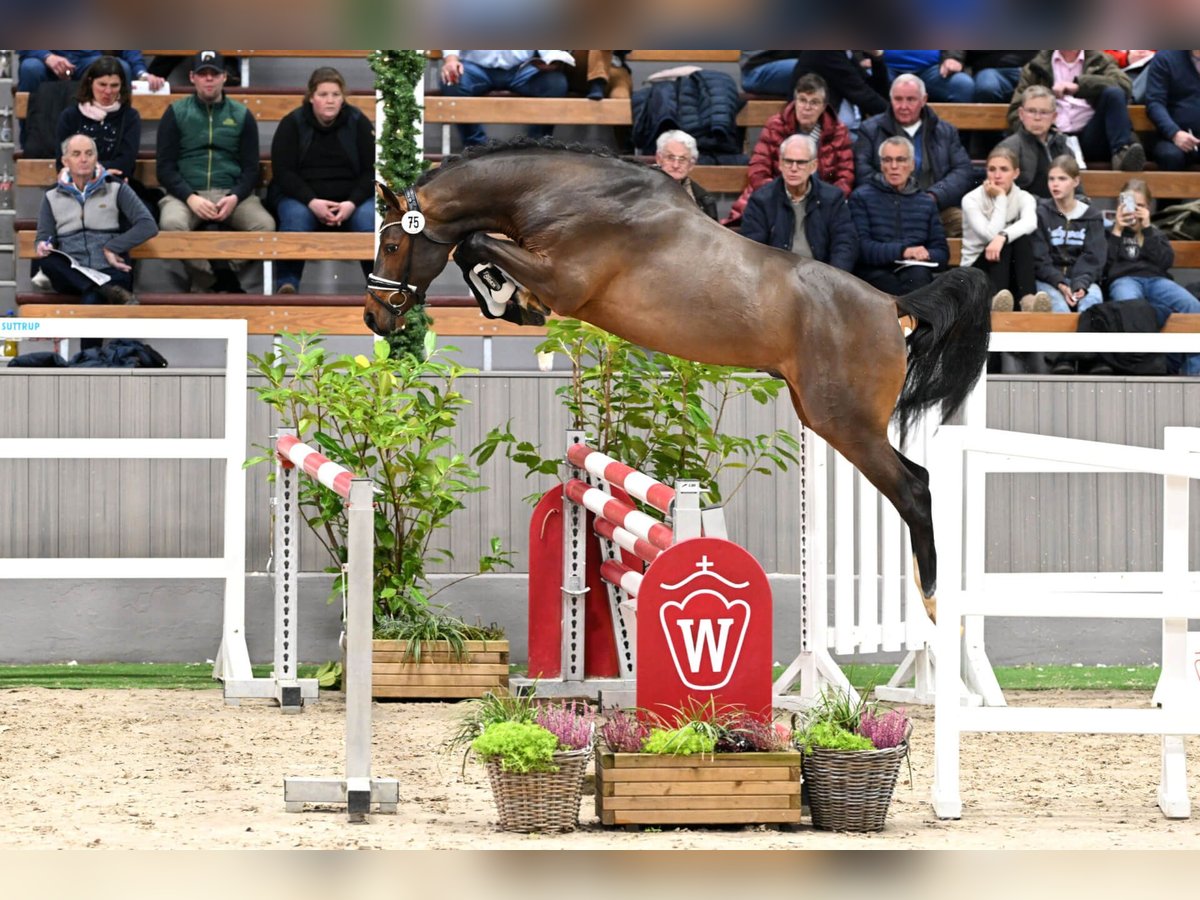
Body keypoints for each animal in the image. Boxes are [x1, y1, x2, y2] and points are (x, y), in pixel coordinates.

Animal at [367, 141, 993, 624]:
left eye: (393, 244)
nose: (374, 317)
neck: (564, 196)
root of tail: (890, 303)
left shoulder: (562, 279)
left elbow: (474, 243)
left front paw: (507, 300)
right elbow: (474, 246)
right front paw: (508, 301)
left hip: (846, 422)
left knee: (914, 489)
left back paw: (934, 600)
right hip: (828, 417)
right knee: (916, 477)